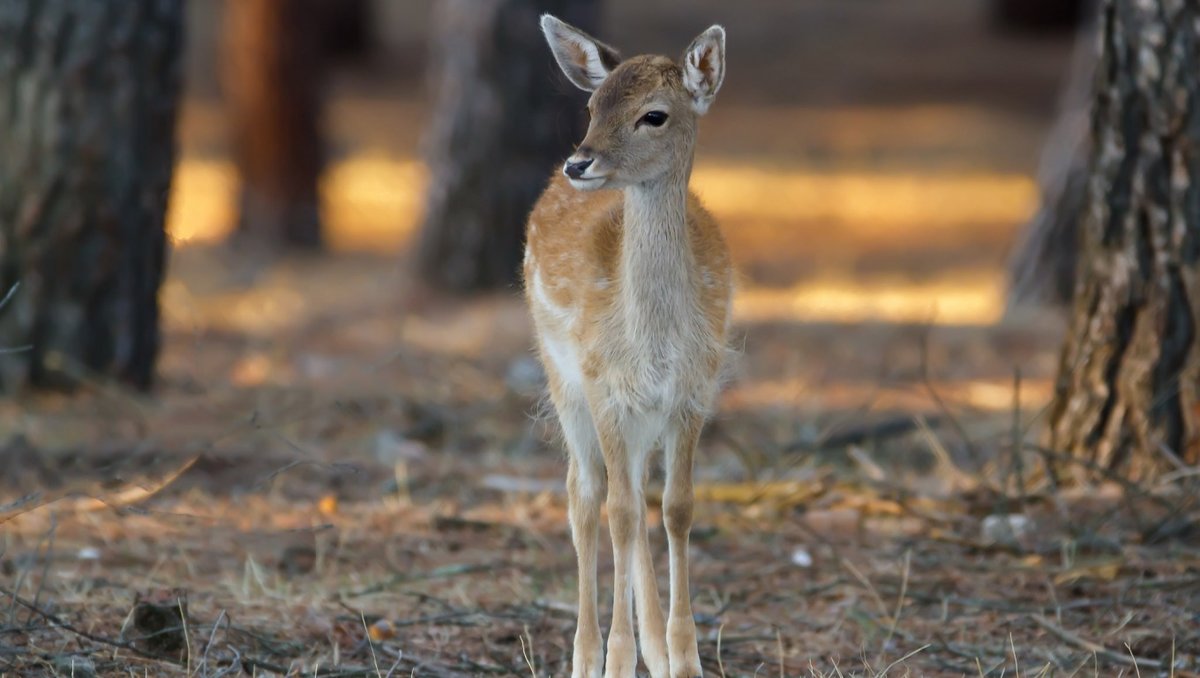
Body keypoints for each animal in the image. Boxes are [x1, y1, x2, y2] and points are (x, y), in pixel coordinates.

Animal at [520, 15, 724, 676]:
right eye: (592, 105)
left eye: (653, 115)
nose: (578, 163)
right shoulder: (603, 384)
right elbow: (617, 512)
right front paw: (615, 659)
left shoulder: (693, 391)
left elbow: (676, 508)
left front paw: (683, 658)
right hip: (562, 379)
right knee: (587, 498)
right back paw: (585, 656)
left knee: (630, 494)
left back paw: (652, 650)